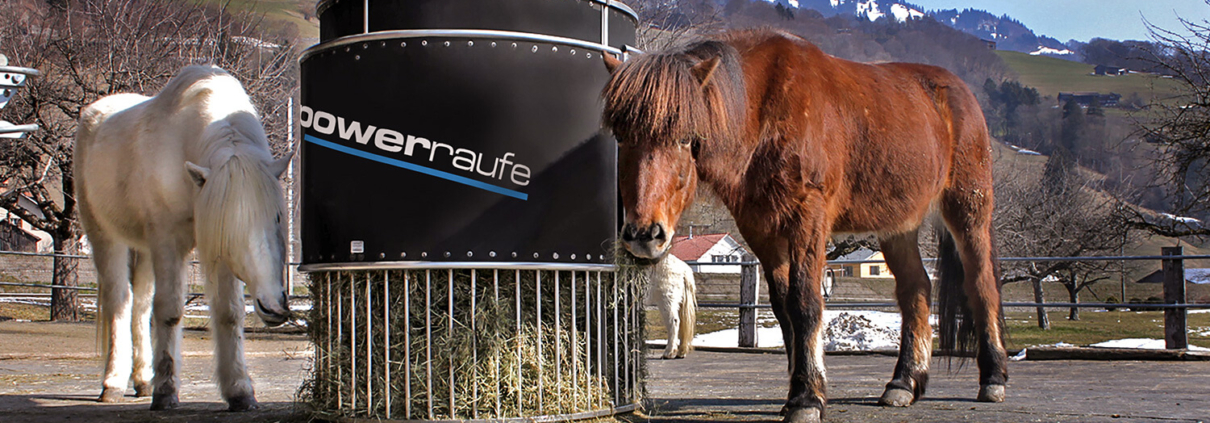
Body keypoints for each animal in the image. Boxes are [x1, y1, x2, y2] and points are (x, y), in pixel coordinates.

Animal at [75, 65, 292, 411]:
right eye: (232, 230)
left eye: (277, 217)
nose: (273, 306)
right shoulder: (169, 242)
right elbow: (170, 310)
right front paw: (166, 392)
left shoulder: (214, 252)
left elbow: (229, 313)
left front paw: (239, 391)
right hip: (106, 238)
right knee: (120, 302)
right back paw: (113, 383)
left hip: (144, 249)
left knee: (140, 305)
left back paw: (142, 380)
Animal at [602, 29, 1007, 423]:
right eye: (621, 137)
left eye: (686, 137)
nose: (644, 236)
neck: (766, 112)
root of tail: (958, 92)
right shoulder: (762, 232)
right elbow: (784, 309)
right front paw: (797, 391)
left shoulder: (807, 220)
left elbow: (805, 303)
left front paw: (808, 398)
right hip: (897, 226)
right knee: (916, 290)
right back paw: (904, 383)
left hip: (968, 210)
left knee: (981, 285)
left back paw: (993, 378)